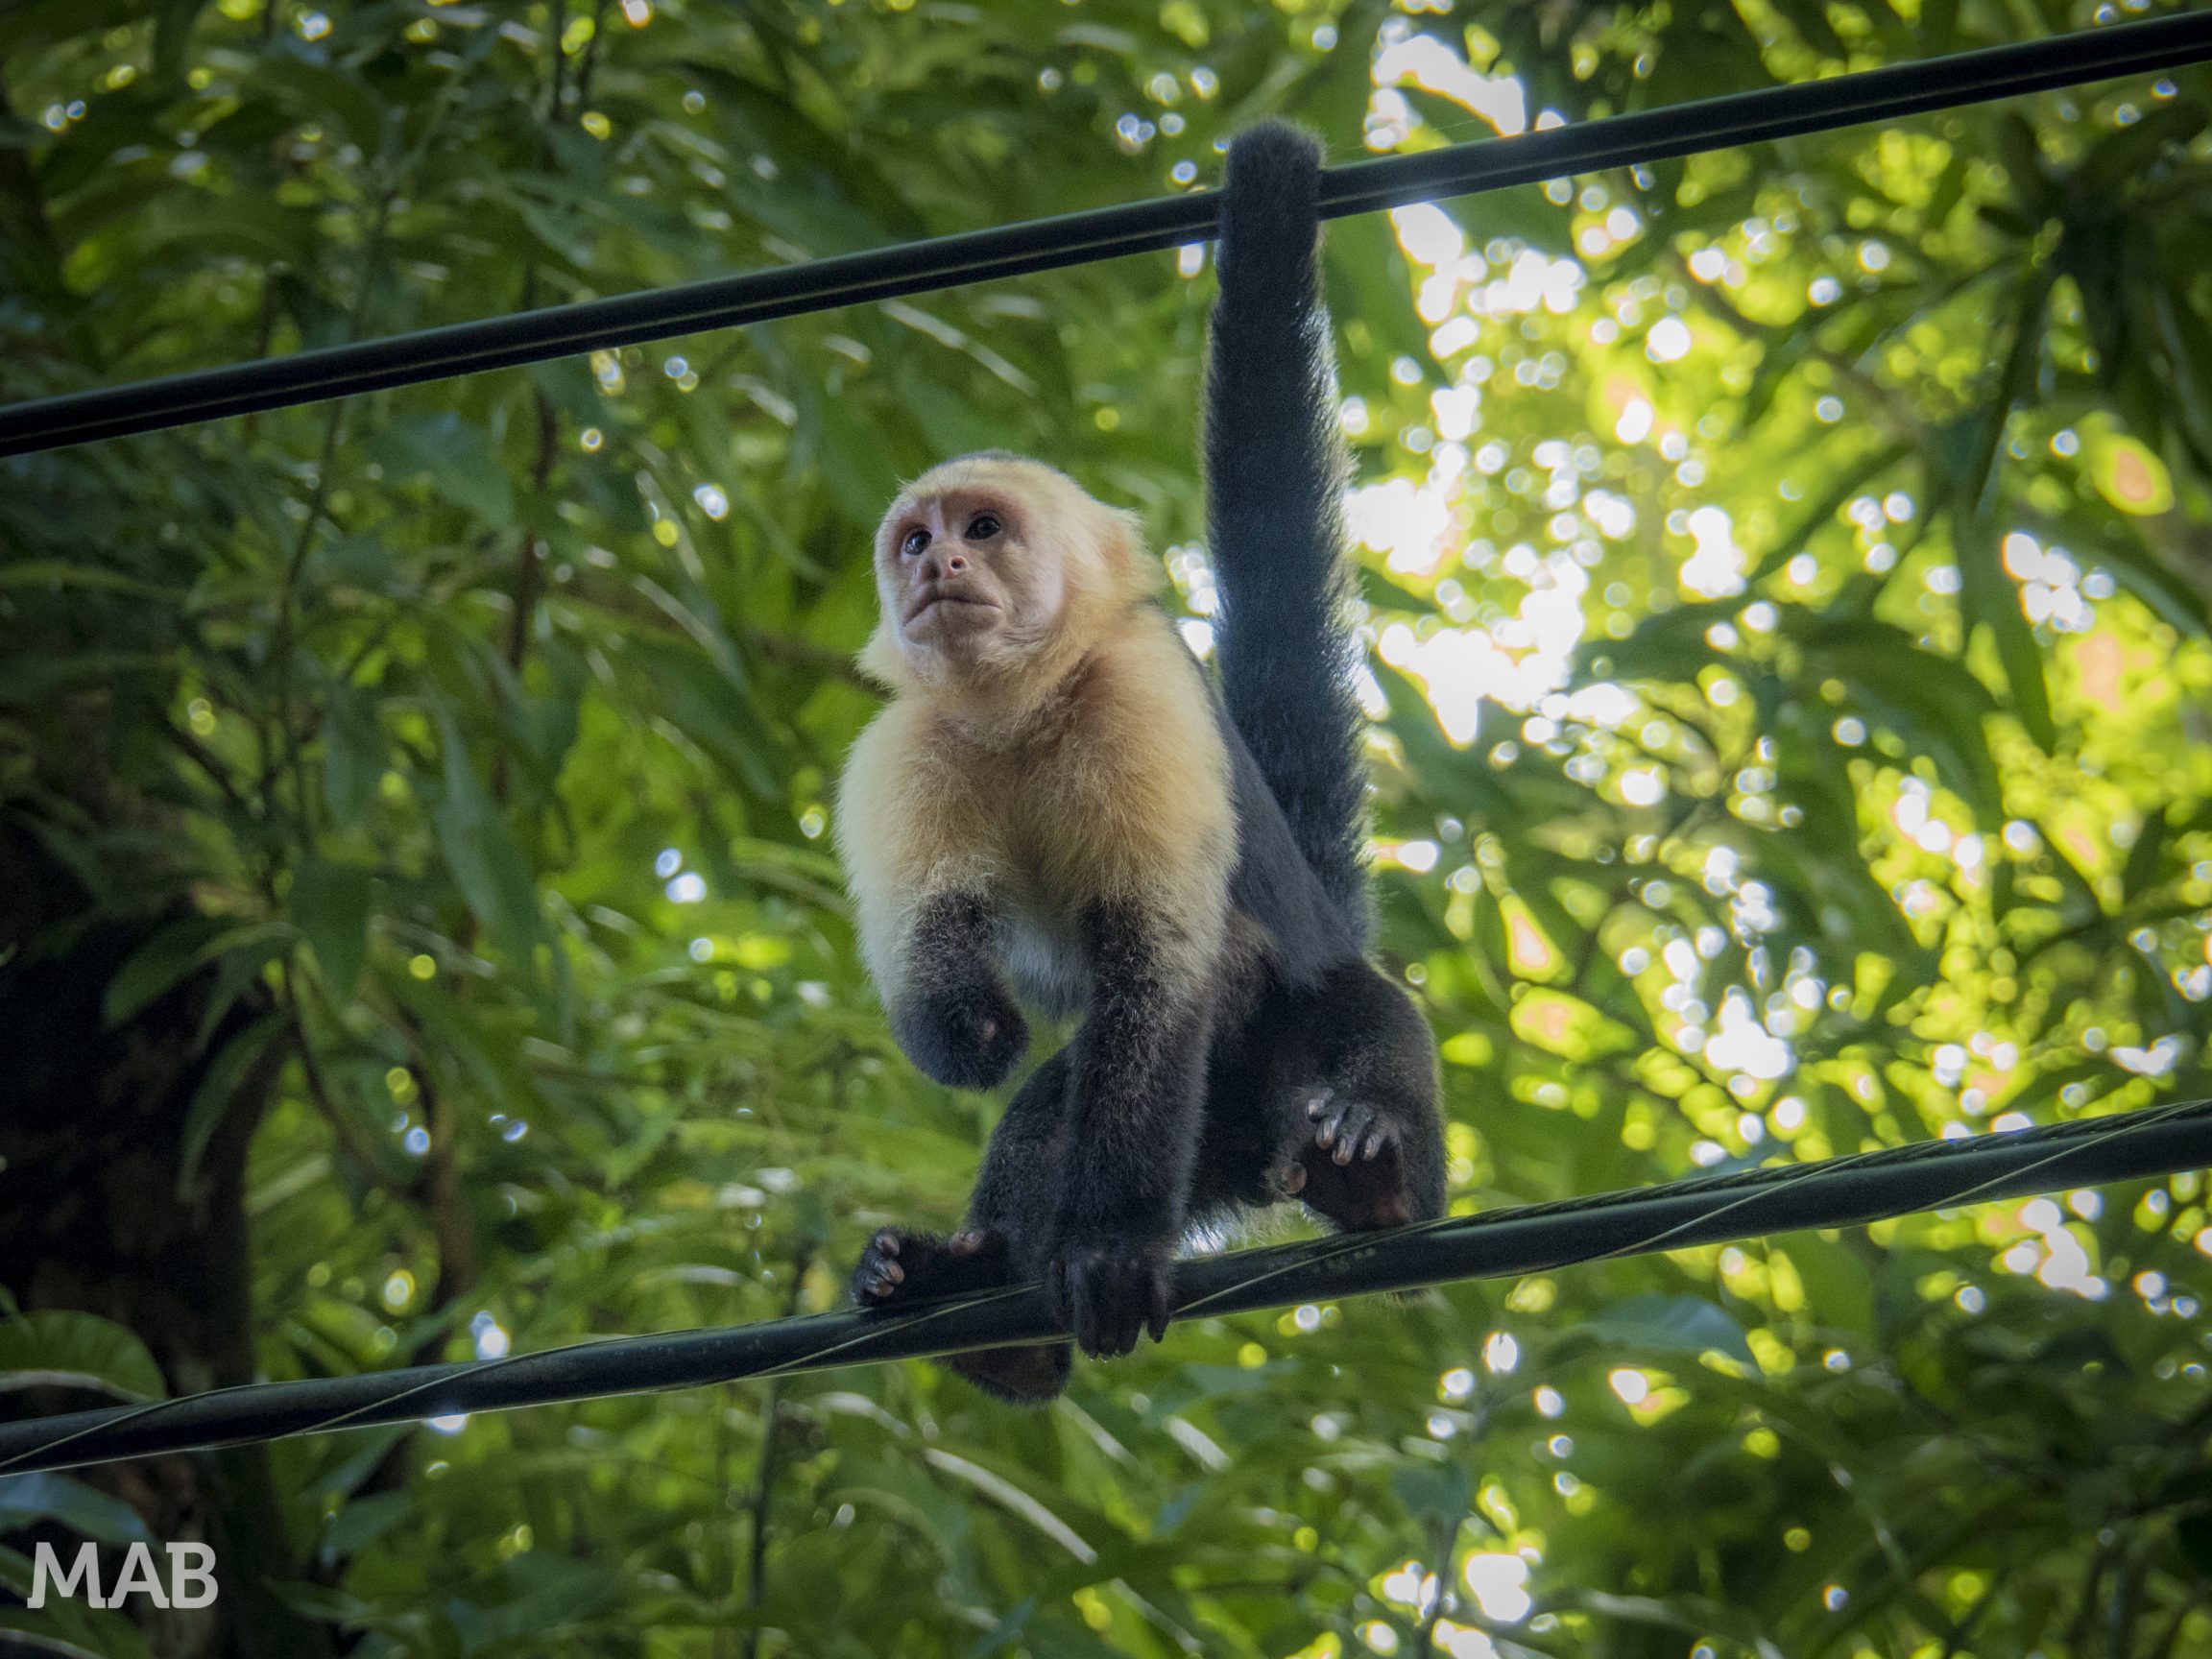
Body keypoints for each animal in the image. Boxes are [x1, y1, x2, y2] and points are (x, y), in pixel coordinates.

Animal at [837, 123, 1444, 1401]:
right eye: (915, 540)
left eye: (983, 531)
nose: (936, 570)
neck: (1022, 711)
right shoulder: (903, 747)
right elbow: (934, 965)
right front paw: (972, 1023)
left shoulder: (1144, 699)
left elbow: (1158, 969)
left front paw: (1111, 1248)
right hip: (1213, 1137)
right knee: (1053, 1109)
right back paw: (992, 1315)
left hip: (1303, 1026)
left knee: (1348, 1027)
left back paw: (1376, 1173)